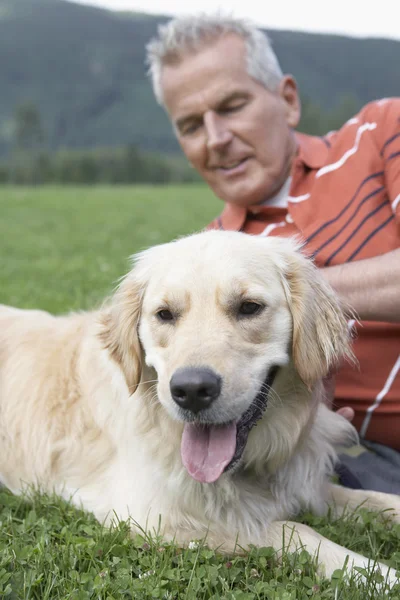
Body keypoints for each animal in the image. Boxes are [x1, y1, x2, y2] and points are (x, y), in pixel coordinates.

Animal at [0, 231, 398, 584]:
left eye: (249, 307)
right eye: (164, 314)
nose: (191, 390)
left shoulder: (307, 483)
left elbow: (375, 499)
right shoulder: (157, 517)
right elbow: (295, 528)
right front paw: (380, 575)